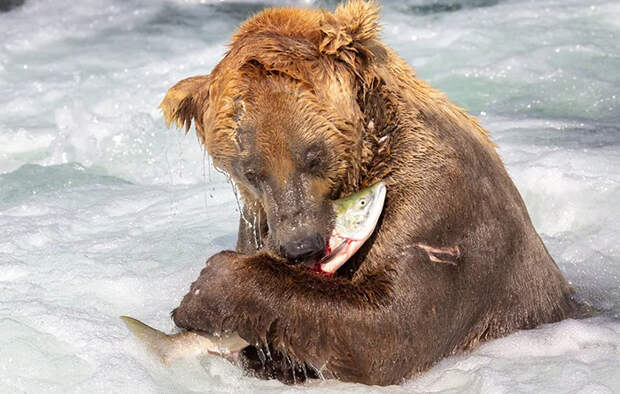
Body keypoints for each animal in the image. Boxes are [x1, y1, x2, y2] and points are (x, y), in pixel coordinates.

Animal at [160, 0, 576, 386]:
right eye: (251, 171)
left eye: (313, 155)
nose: (300, 246)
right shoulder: (259, 220)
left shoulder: (437, 209)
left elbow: (392, 328)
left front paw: (209, 286)